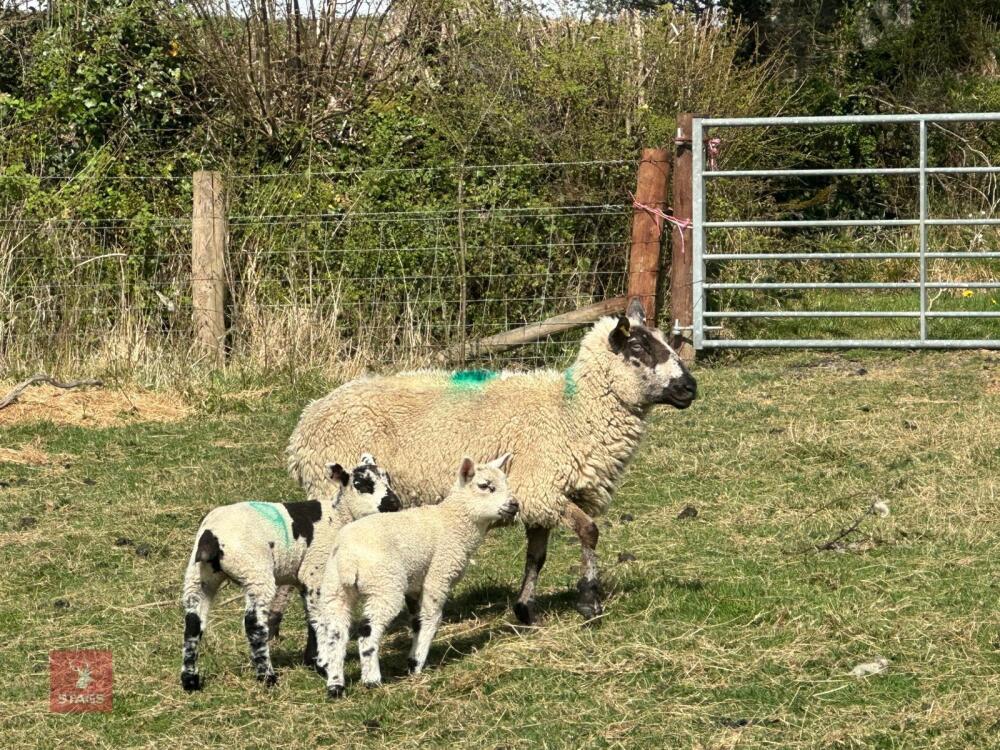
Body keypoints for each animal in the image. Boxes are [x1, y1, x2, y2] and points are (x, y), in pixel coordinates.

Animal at [179, 455, 400, 691]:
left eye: (388, 479)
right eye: (361, 484)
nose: (394, 504)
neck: (338, 516)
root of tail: (211, 536)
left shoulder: (306, 579)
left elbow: (310, 619)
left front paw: (313, 660)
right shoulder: (315, 570)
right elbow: (319, 619)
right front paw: (323, 663)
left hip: (199, 576)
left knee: (193, 622)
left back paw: (190, 680)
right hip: (255, 571)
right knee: (253, 623)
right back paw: (267, 676)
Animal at [282, 300, 697, 625]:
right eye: (639, 346)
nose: (690, 388)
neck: (572, 411)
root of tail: (305, 424)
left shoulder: (539, 499)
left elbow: (537, 557)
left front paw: (526, 609)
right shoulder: (541, 488)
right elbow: (589, 532)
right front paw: (589, 602)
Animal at [314, 454, 518, 697]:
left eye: (506, 481)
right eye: (484, 486)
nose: (515, 505)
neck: (453, 522)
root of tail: (347, 558)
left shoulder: (415, 582)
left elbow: (417, 622)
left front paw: (413, 658)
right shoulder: (438, 576)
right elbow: (431, 620)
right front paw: (417, 664)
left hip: (334, 590)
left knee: (336, 635)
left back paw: (335, 686)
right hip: (385, 585)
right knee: (367, 632)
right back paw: (372, 680)